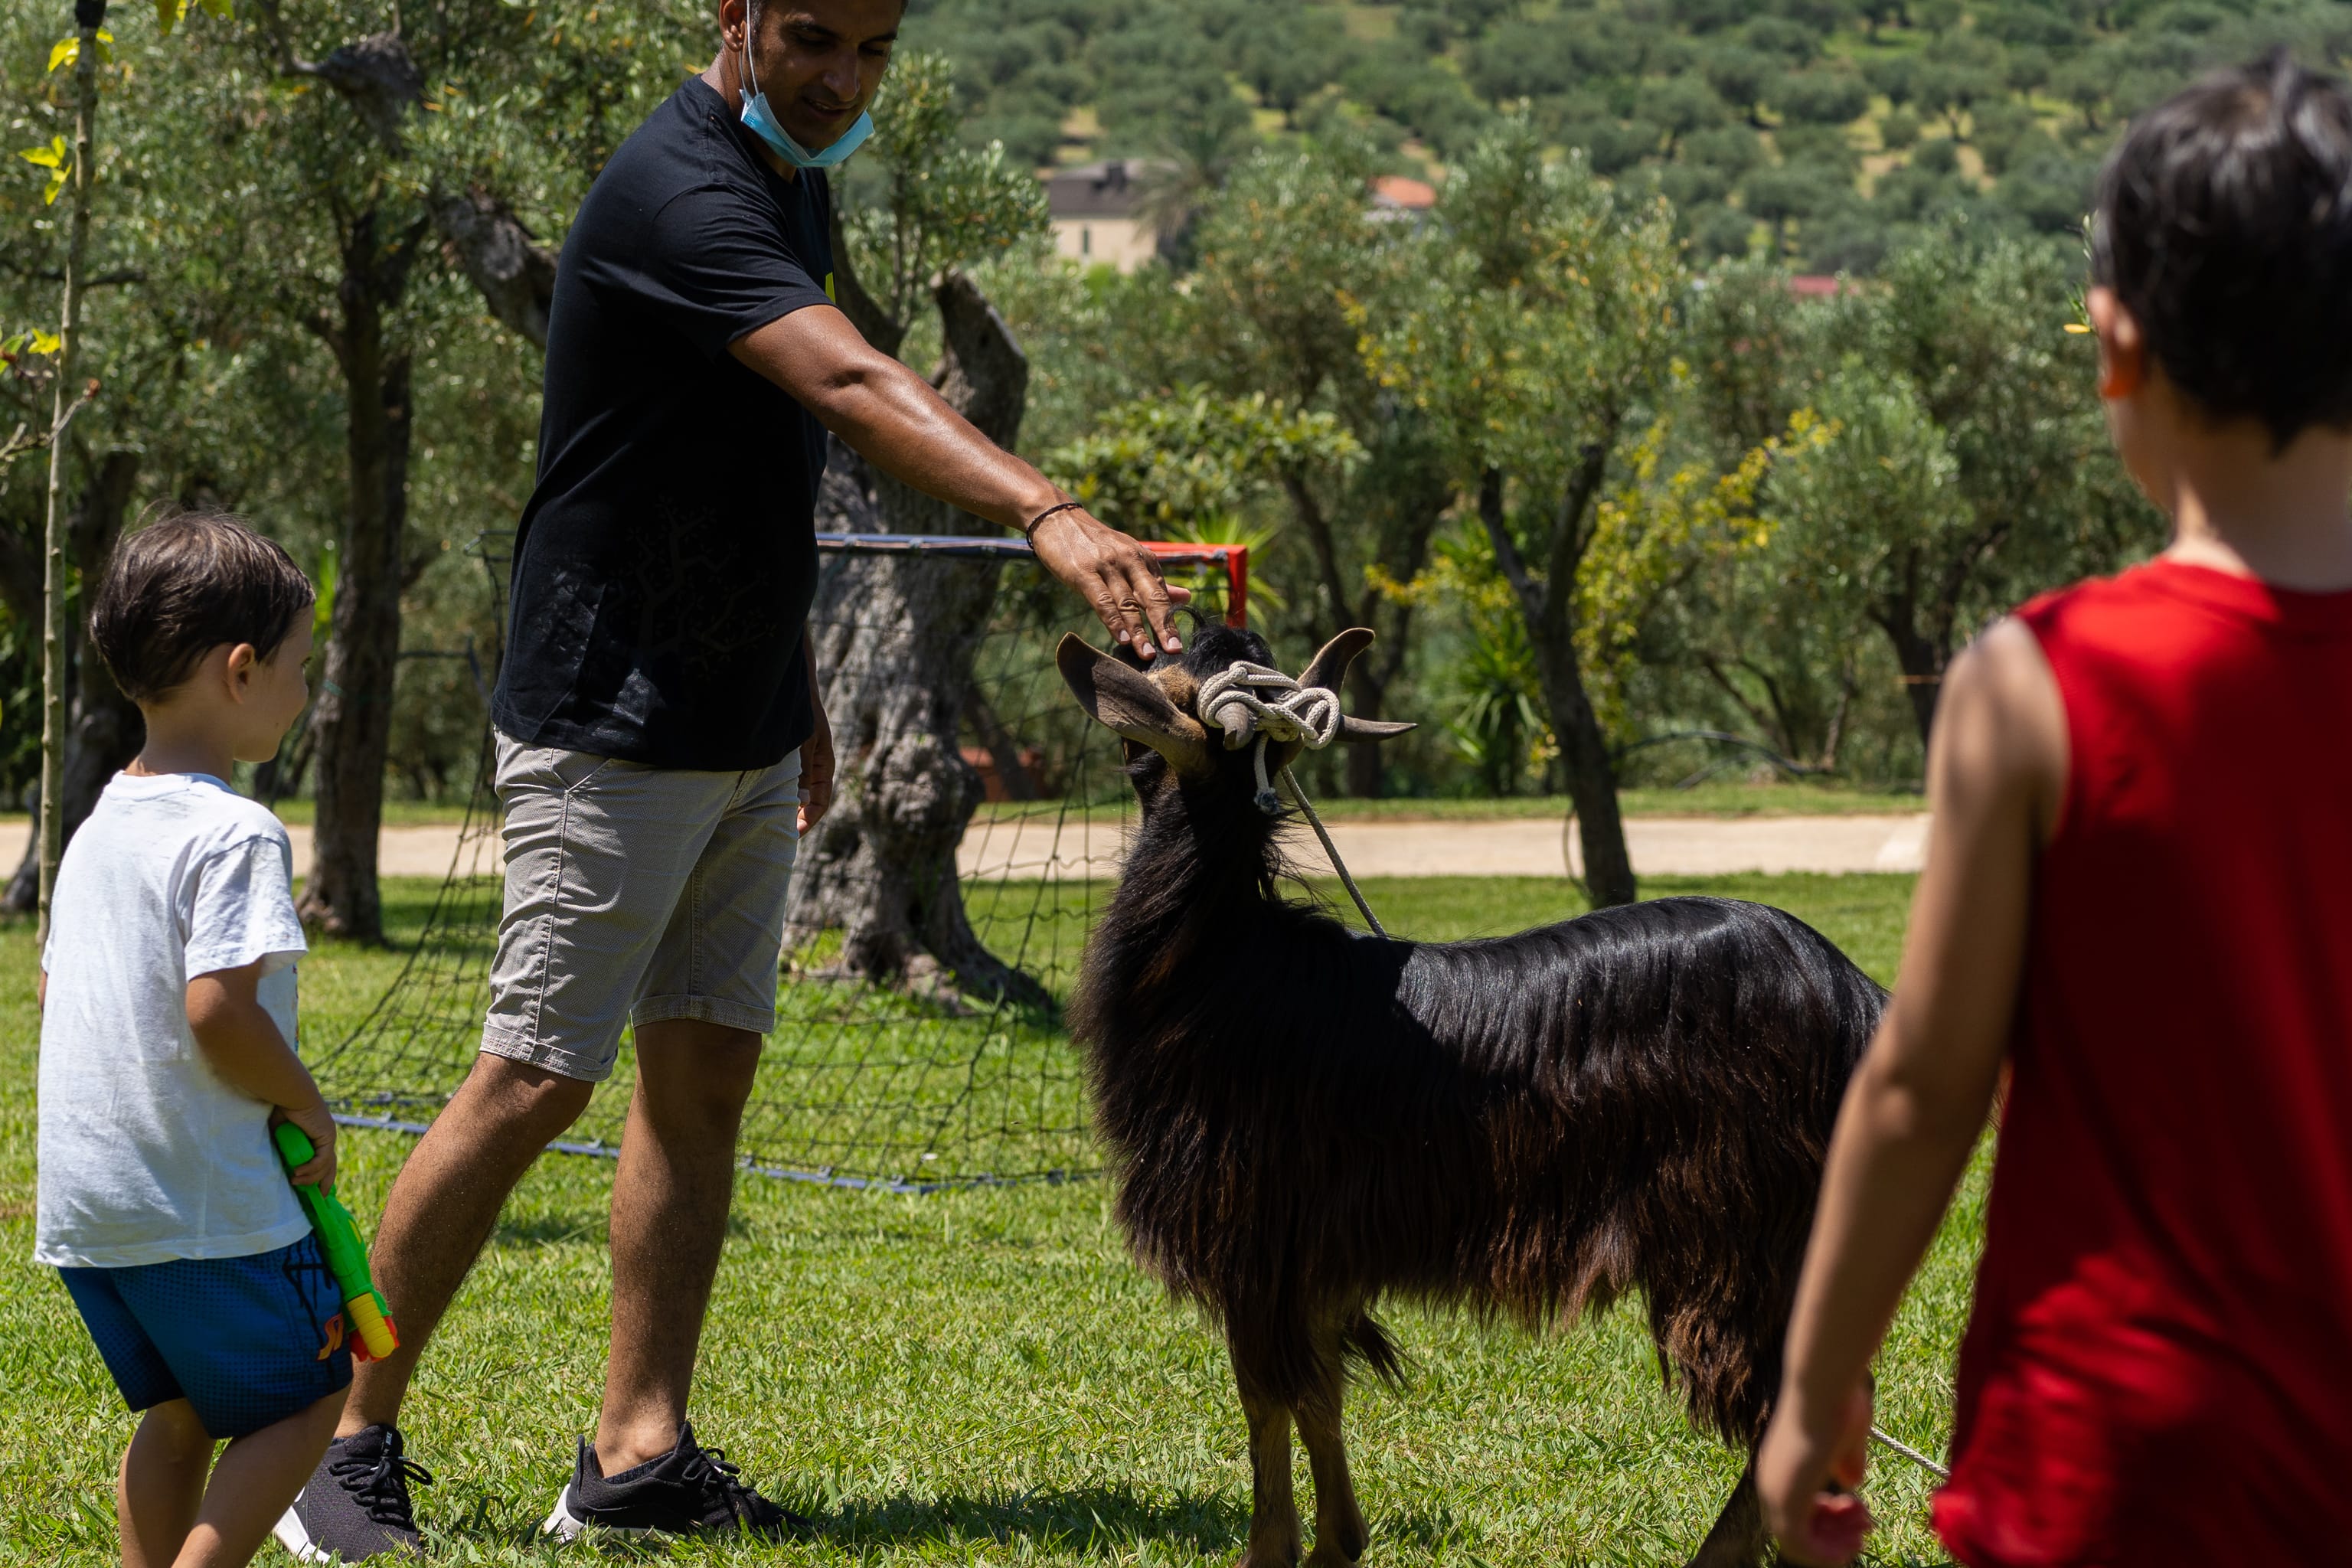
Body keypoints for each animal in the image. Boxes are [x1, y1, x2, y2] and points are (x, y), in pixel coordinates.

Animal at [1058, 625, 1881, 1568]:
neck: (1219, 960)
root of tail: (1858, 999)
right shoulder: (1320, 1250)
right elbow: (1319, 1391)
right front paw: (1340, 1540)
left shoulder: (1252, 1232)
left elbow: (1264, 1395)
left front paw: (1273, 1551)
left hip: (1739, 1231)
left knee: (1788, 1405)